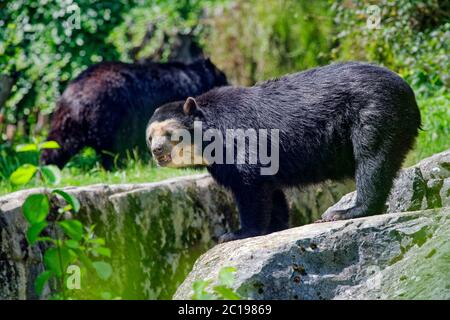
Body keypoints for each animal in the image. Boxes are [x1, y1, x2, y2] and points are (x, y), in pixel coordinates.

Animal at [40, 57, 227, 169]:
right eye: (224, 77)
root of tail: (77, 98)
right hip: (111, 117)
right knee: (111, 149)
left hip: (66, 120)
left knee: (57, 143)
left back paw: (46, 166)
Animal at [146, 62, 420, 242]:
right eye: (149, 137)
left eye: (170, 134)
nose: (156, 151)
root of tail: (407, 90)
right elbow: (270, 189)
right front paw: (274, 226)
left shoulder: (238, 140)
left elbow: (249, 185)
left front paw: (235, 233)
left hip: (374, 114)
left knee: (372, 159)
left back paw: (344, 211)